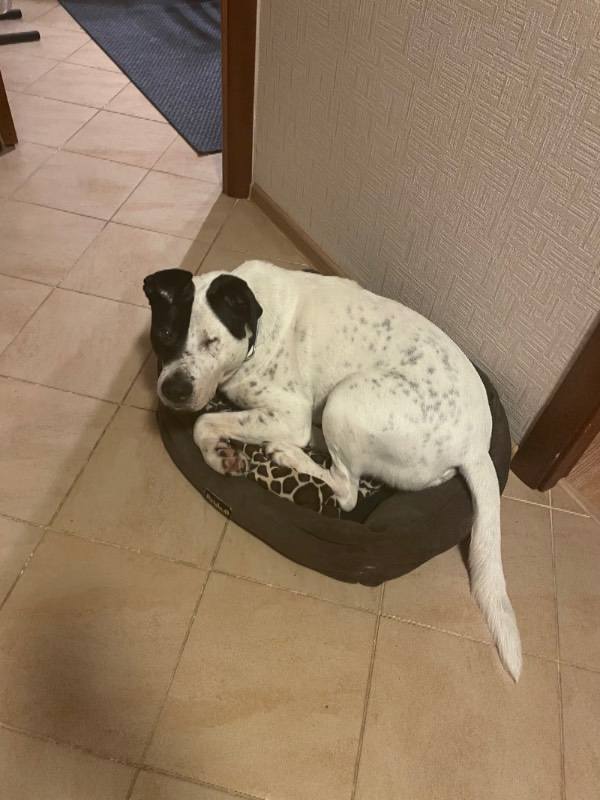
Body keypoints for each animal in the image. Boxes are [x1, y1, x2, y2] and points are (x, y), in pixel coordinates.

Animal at [143, 260, 522, 681]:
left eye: (212, 341)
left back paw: (290, 456)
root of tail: (476, 447)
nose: (174, 390)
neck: (254, 326)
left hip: (346, 400)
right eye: (164, 334)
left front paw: (217, 454)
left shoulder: (288, 413)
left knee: (347, 490)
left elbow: (202, 423)